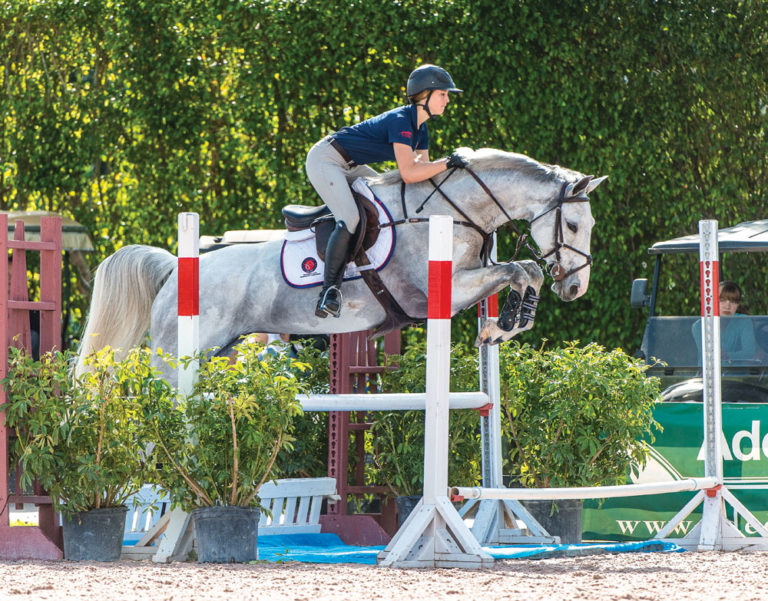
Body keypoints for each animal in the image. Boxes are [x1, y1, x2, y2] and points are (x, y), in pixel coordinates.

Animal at [75, 147, 606, 383]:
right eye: (573, 224)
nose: (576, 289)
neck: (452, 210)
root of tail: (173, 270)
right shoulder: (440, 293)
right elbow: (520, 269)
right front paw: (505, 324)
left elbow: (524, 270)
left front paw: (504, 325)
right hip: (174, 356)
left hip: (218, 350)